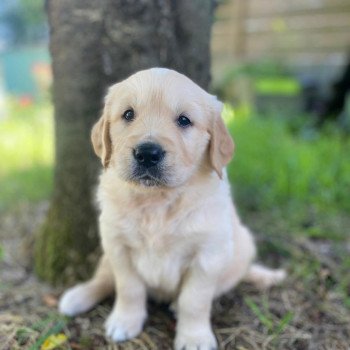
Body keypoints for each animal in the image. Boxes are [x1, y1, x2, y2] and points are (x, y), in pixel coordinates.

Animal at [59, 67, 284, 348]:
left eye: (184, 120)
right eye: (128, 114)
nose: (147, 153)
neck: (157, 200)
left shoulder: (208, 254)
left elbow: (194, 300)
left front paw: (194, 337)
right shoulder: (117, 246)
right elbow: (128, 288)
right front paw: (125, 321)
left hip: (242, 246)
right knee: (103, 279)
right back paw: (77, 297)